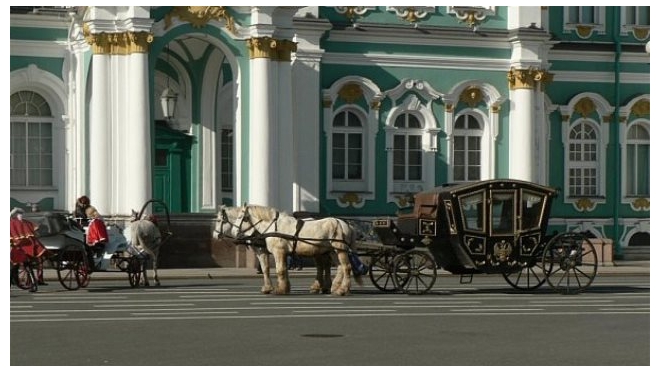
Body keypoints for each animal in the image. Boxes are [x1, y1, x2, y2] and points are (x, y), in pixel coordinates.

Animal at [232, 205, 364, 294]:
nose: (233, 233)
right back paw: (335, 287)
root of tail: (345, 224)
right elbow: (282, 269)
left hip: (340, 250)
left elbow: (280, 270)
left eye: (241, 217)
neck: (274, 227)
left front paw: (280, 289)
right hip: (333, 251)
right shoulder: (281, 253)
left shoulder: (278, 252)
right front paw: (283, 288)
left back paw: (342, 289)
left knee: (346, 267)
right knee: (339, 267)